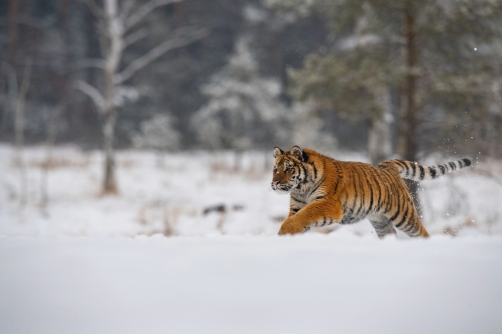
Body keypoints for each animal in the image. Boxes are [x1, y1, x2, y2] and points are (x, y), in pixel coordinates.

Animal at [270, 146, 470, 237]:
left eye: (288, 168)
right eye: (275, 169)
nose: (274, 183)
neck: (301, 188)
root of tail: (387, 166)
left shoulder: (329, 203)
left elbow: (305, 215)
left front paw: (284, 231)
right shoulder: (297, 206)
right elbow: (297, 218)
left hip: (404, 217)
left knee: (421, 233)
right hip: (380, 221)